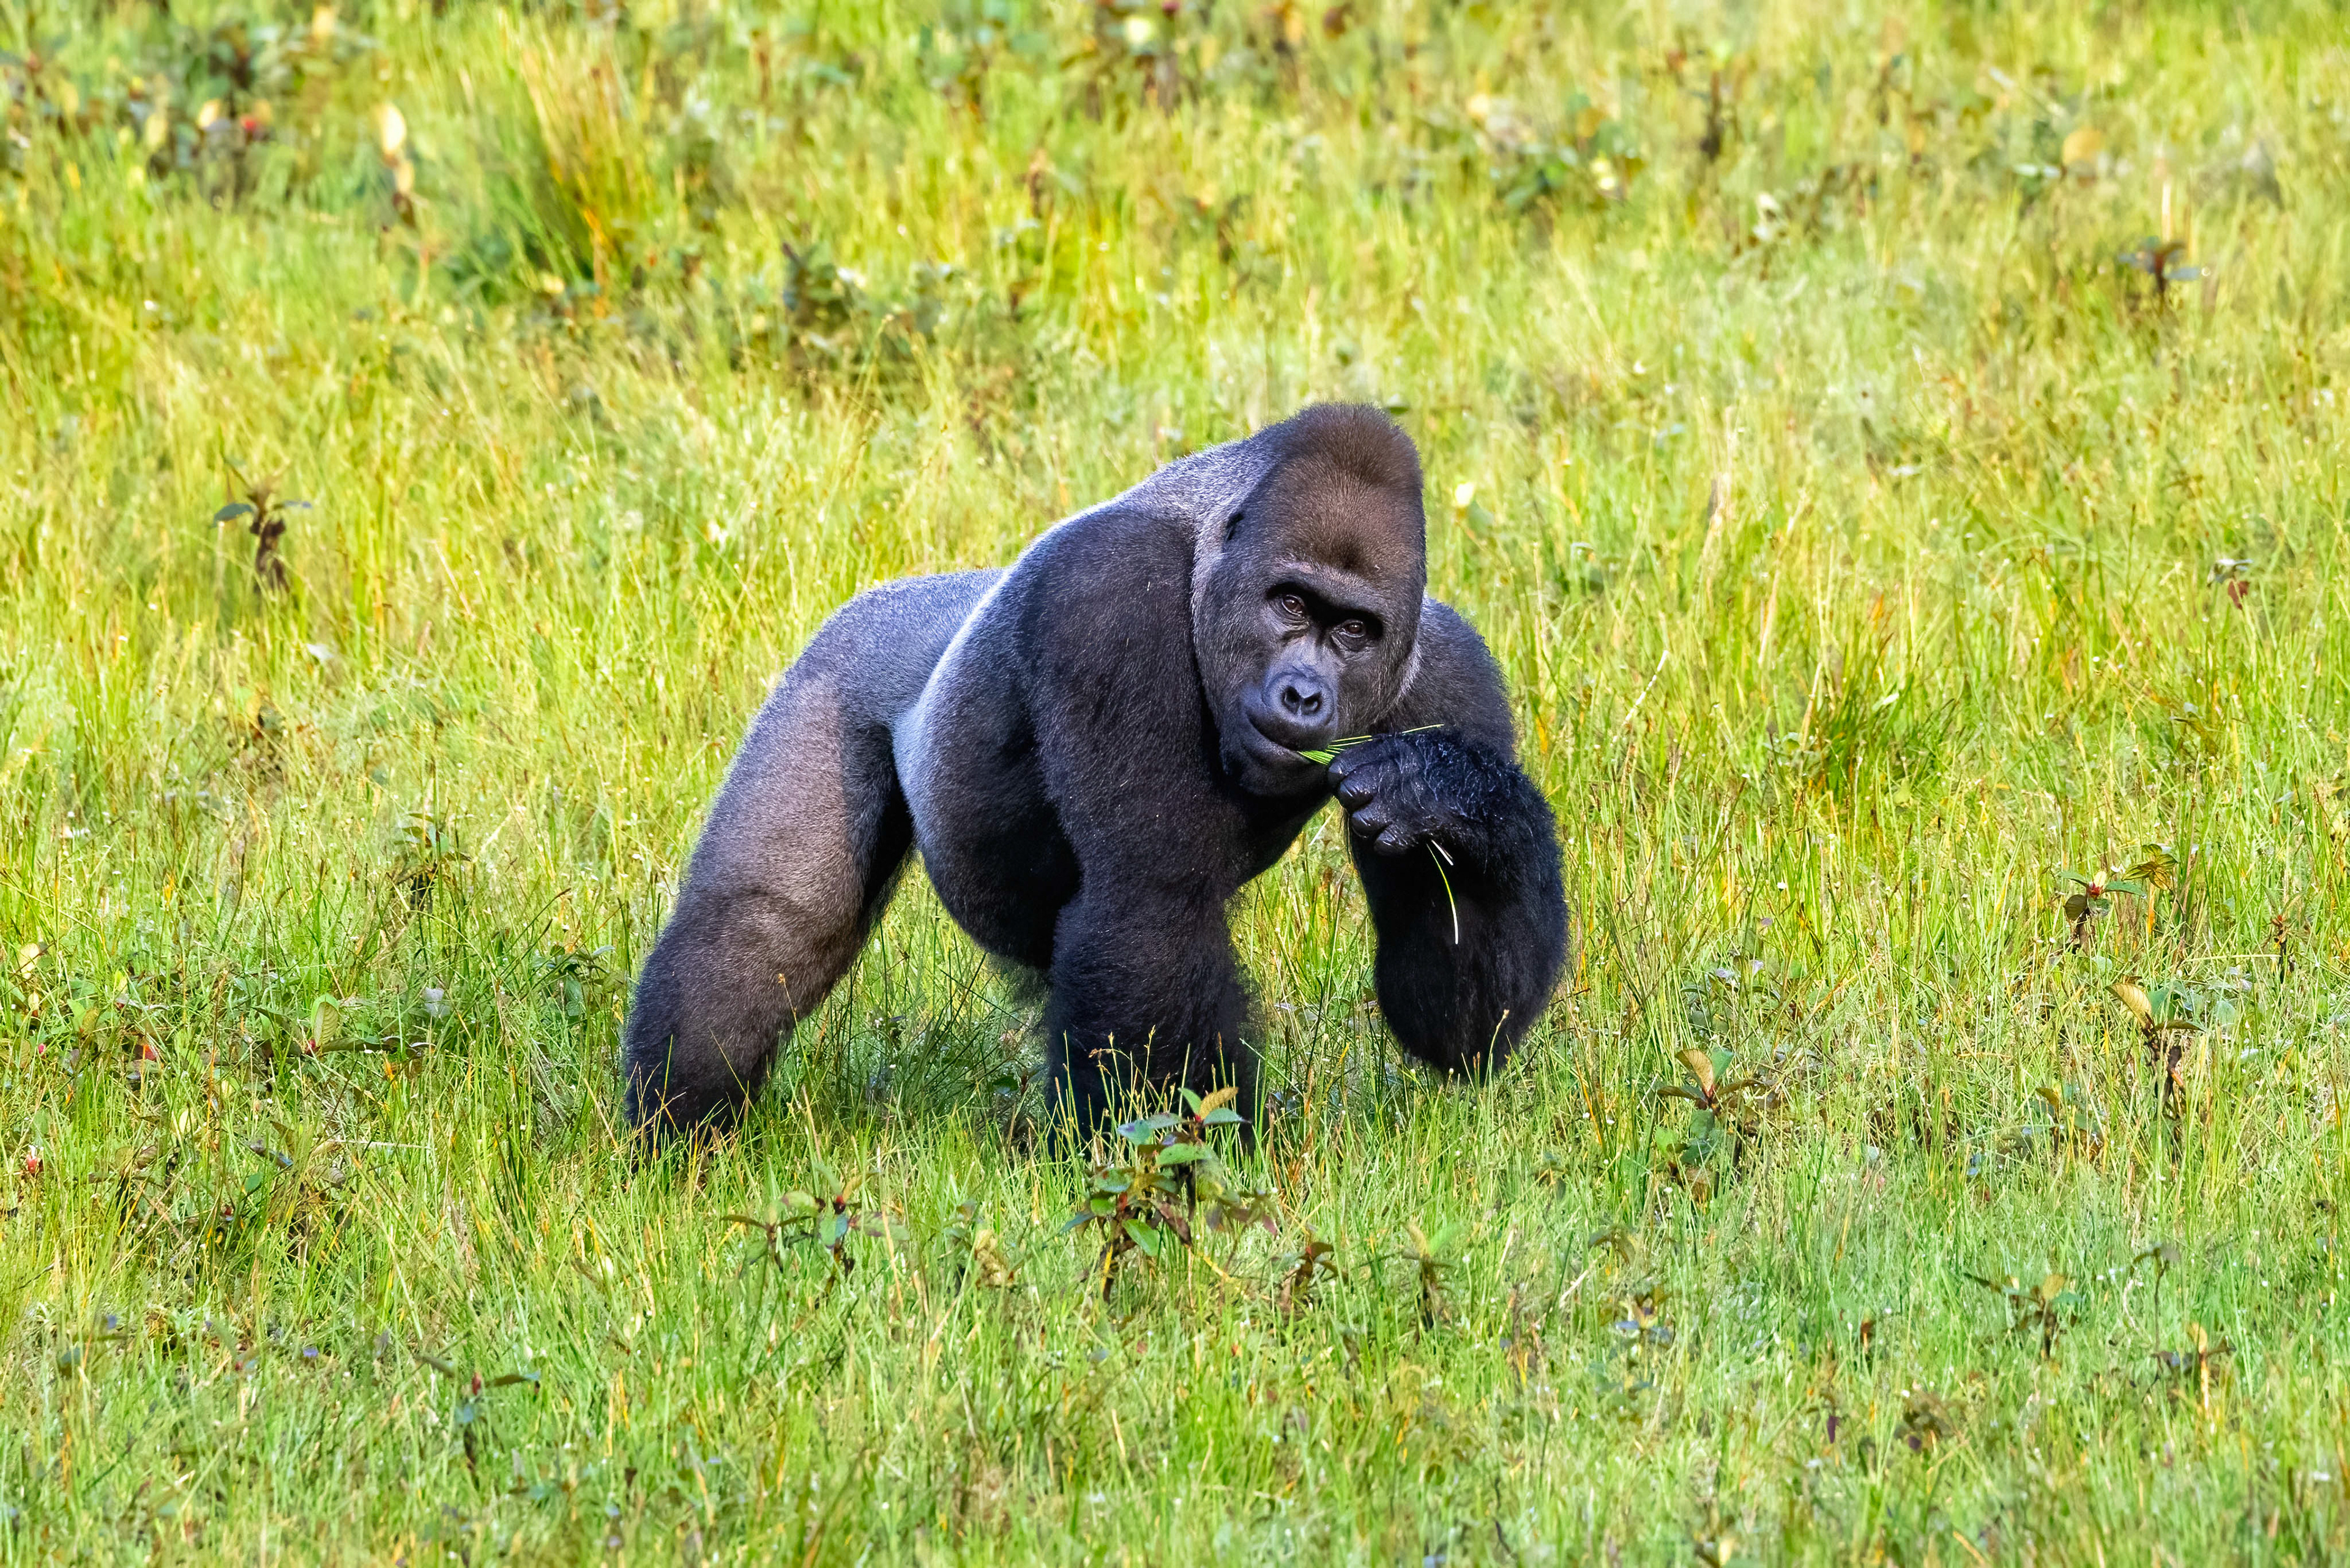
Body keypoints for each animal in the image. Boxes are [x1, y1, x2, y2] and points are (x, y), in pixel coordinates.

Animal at [622, 404, 1568, 1137]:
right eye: (1291, 603)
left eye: (1357, 631)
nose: (1303, 695)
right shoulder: (1110, 596)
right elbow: (1148, 902)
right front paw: (1189, 1179)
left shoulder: (1450, 672)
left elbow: (1452, 1016)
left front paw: (1451, 799)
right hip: (841, 658)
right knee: (767, 922)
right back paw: (678, 1131)